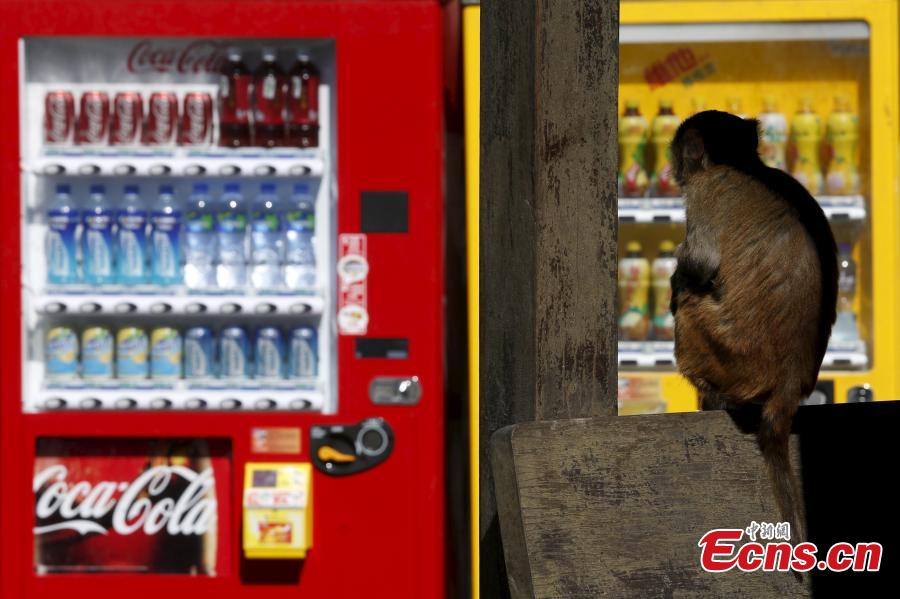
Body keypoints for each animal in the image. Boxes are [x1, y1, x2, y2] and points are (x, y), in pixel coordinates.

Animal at [668, 110, 838, 541]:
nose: (673, 169)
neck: (746, 165)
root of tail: (791, 379)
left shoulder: (706, 190)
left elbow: (701, 265)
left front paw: (677, 281)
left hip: (731, 356)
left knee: (690, 304)